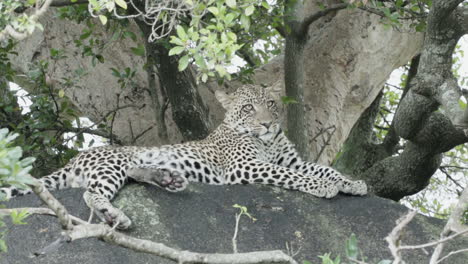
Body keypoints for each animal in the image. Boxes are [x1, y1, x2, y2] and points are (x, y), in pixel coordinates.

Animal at [0, 84, 366, 229]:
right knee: (91, 194)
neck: (269, 141)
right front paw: (323, 188)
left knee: (135, 173)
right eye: (249, 108)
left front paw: (353, 183)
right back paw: (116, 215)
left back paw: (168, 178)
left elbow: (321, 168)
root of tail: (73, 160)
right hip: (110, 165)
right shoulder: (246, 167)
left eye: (272, 104)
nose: (266, 123)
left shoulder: (291, 159)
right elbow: (297, 177)